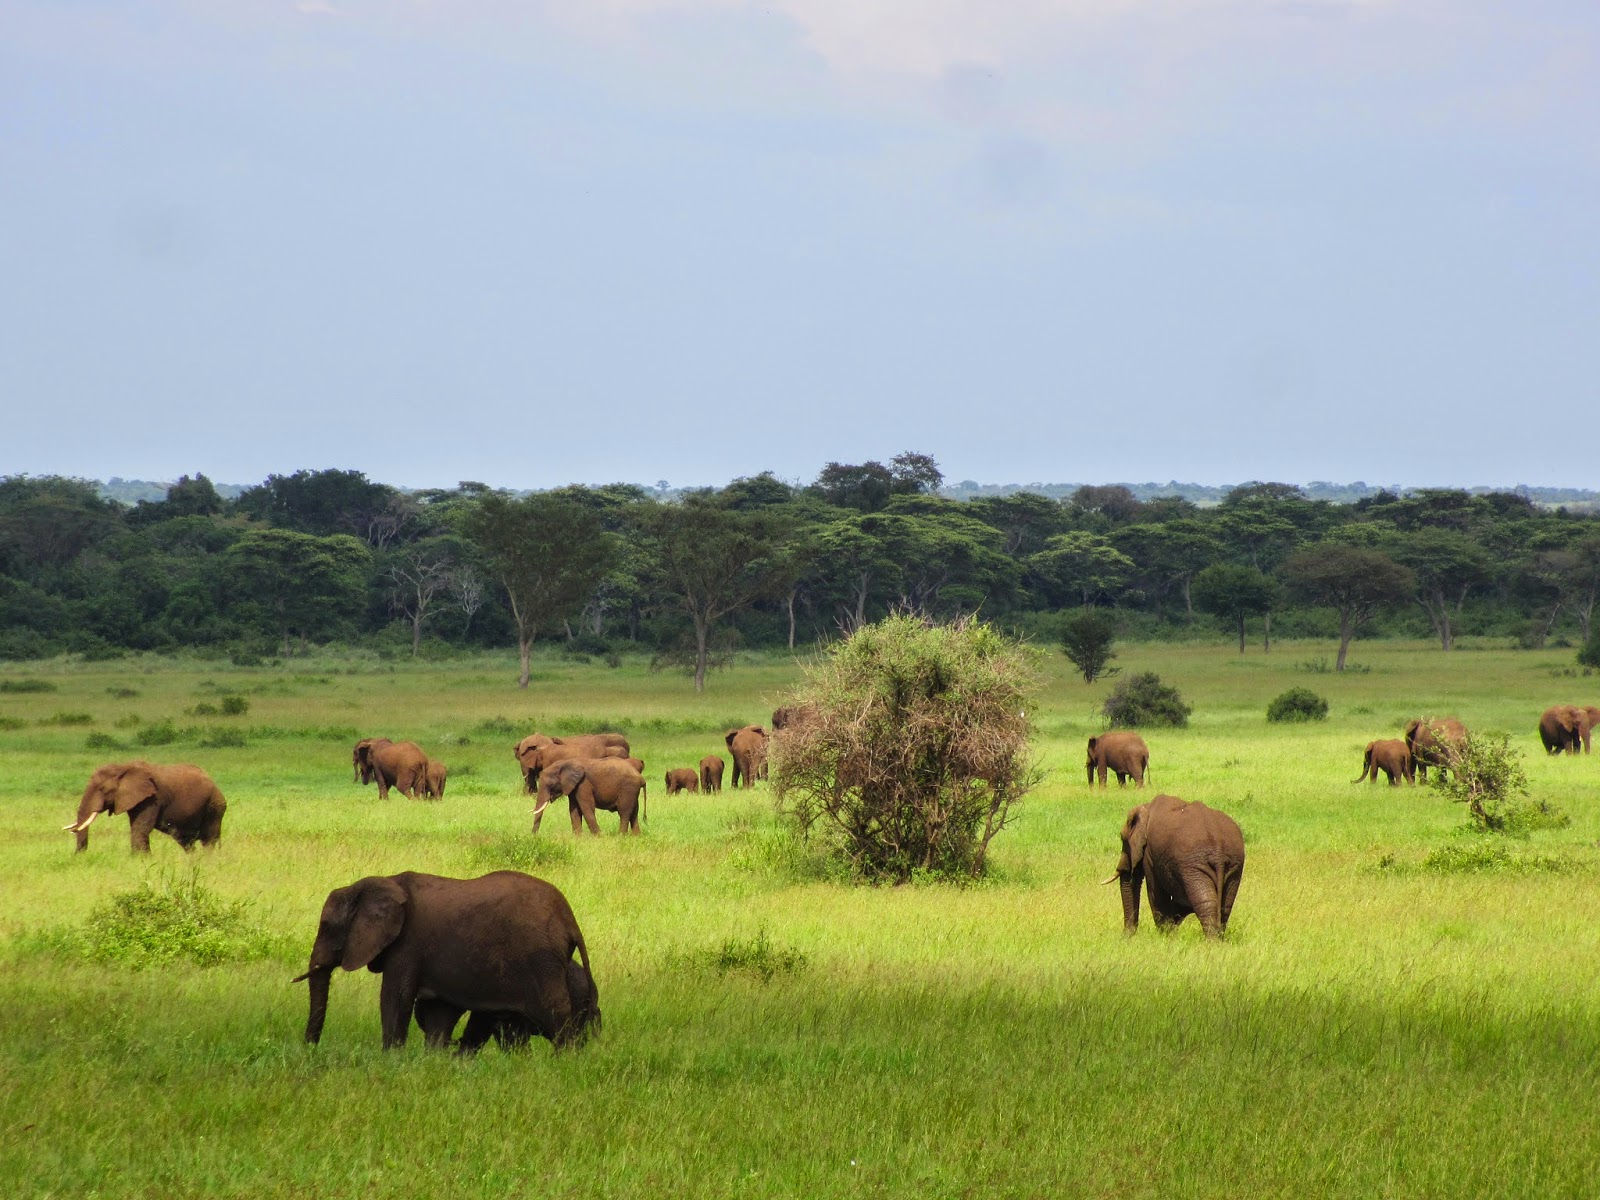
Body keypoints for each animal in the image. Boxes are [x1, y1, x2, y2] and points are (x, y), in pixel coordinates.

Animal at [65, 761, 227, 854]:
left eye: (102, 789)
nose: (79, 855)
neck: (123, 767)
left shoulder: (152, 798)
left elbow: (141, 827)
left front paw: (141, 859)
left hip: (214, 806)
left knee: (209, 839)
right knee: (185, 840)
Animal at [294, 870, 599, 1051]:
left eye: (327, 927)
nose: (311, 1048)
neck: (382, 881)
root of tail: (568, 918)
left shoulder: (408, 943)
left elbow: (395, 998)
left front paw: (390, 1059)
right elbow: (437, 1013)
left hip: (540, 959)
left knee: (555, 1013)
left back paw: (565, 1061)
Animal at [1104, 793, 1244, 939]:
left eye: (1122, 838)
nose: (1126, 936)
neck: (1146, 808)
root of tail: (1218, 850)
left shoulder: (1150, 853)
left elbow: (1155, 893)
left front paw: (1164, 936)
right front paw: (1169, 932)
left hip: (1194, 866)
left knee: (1206, 902)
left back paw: (1212, 941)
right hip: (1233, 865)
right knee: (1225, 905)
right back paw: (1218, 938)